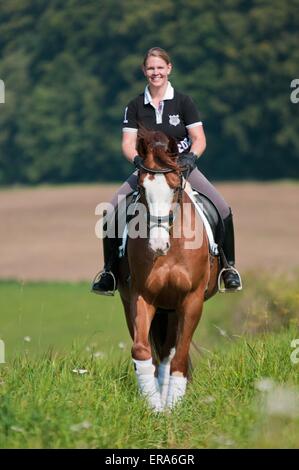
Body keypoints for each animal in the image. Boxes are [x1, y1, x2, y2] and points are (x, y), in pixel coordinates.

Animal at [118, 129, 219, 412]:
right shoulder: (141, 296)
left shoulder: (191, 299)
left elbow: (180, 357)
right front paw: (155, 408)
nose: (157, 245)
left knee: (170, 352)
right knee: (160, 353)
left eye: (174, 187)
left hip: (174, 308)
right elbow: (141, 351)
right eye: (142, 188)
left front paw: (172, 407)